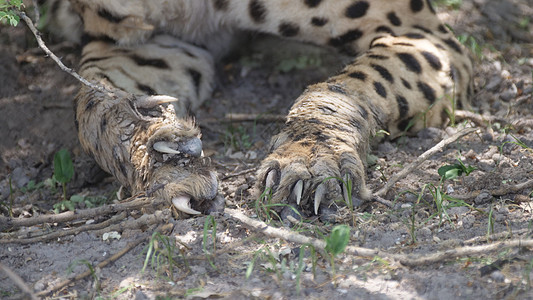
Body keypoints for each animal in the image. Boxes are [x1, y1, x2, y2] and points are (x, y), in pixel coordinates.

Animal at [39, 0, 472, 216]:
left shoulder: (422, 33)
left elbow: (353, 84)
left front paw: (312, 157)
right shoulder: (142, 47)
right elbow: (92, 102)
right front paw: (163, 157)